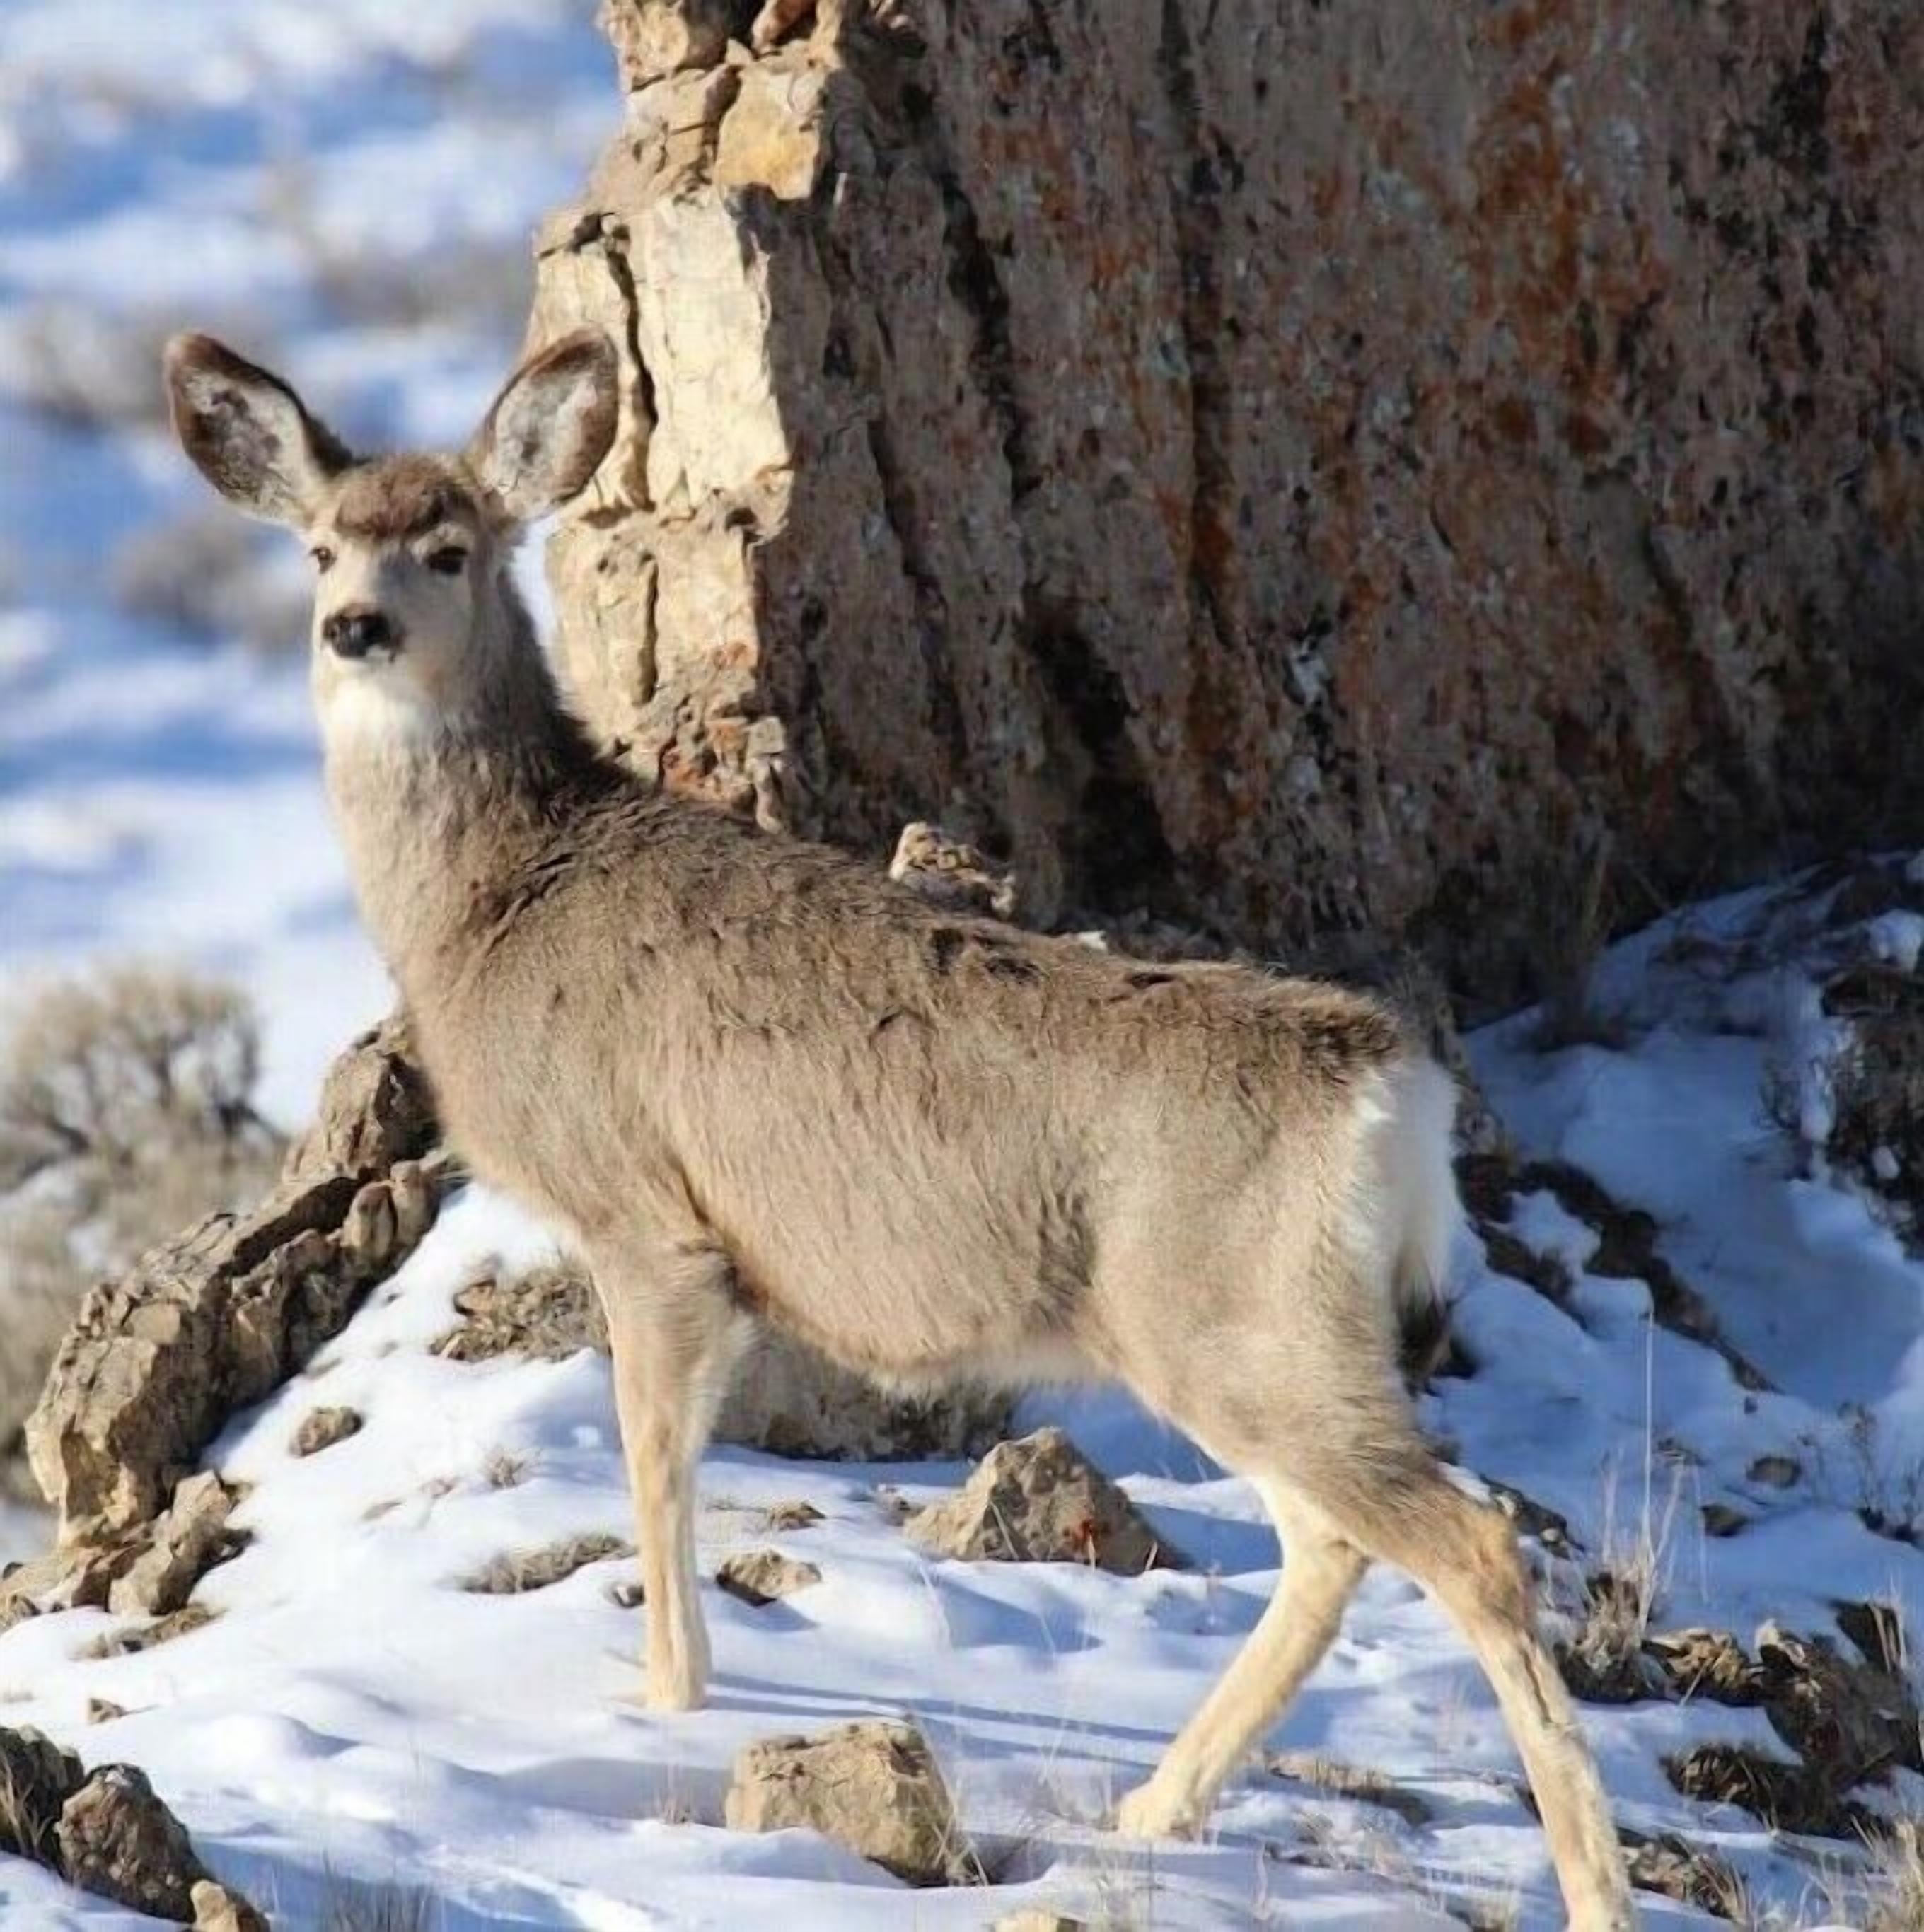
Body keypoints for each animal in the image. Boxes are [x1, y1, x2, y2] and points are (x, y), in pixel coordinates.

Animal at [163, 326, 1634, 1928]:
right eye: (317, 547)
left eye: (448, 546)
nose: (355, 627)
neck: (500, 896)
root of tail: (1390, 1088)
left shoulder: (647, 1215)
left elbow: (653, 1459)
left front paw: (662, 1701)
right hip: (1261, 1336)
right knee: (1331, 1549)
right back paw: (1152, 1805)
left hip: (1233, 1324)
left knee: (1468, 1544)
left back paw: (1589, 1890)